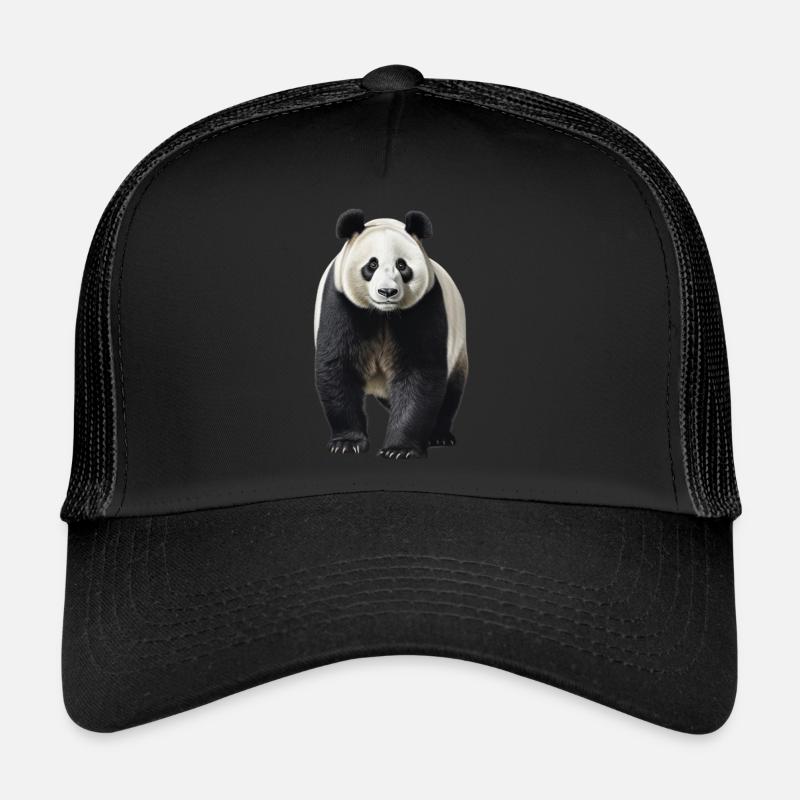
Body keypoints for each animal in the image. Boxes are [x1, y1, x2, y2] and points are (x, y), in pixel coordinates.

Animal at [314, 209, 468, 459]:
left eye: (402, 265)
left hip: (458, 347)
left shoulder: (424, 305)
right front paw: (347, 443)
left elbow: (419, 372)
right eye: (372, 264)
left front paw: (400, 449)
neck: (383, 314)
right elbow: (338, 365)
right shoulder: (341, 303)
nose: (387, 292)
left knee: (451, 392)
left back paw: (439, 436)